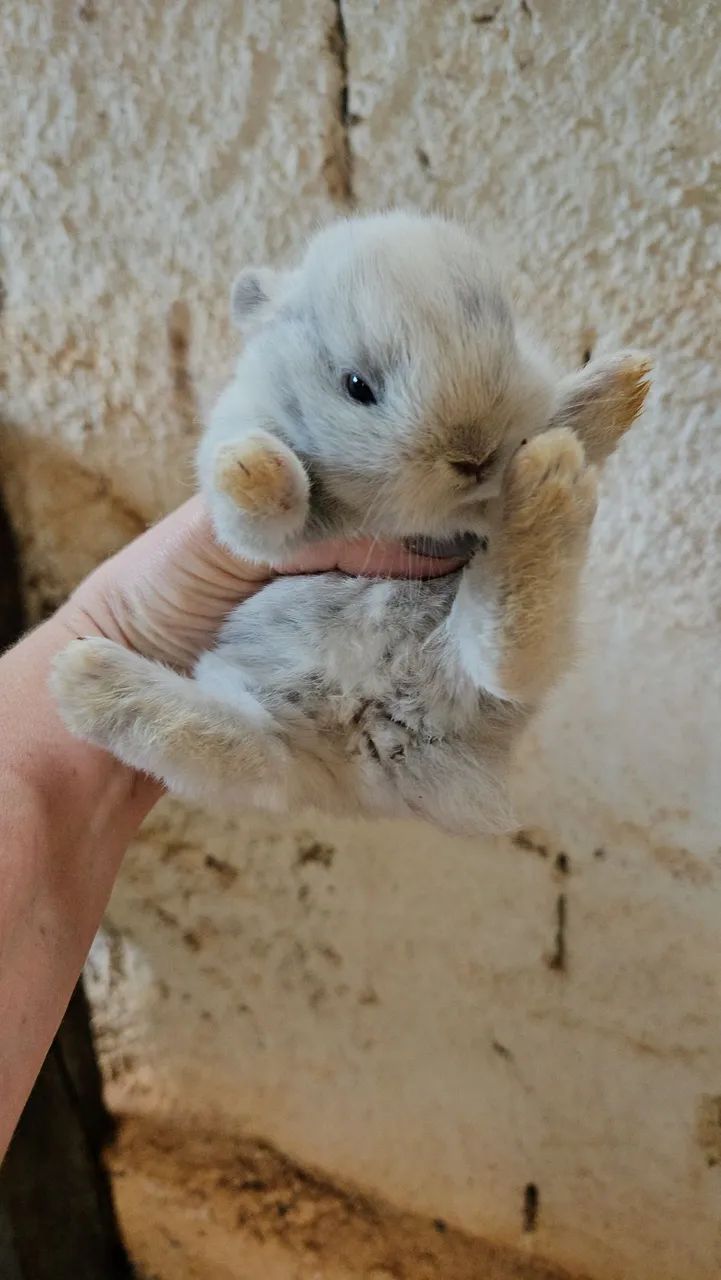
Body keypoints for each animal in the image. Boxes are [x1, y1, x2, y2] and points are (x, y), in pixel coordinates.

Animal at [52, 212, 650, 836]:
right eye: (357, 386)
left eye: (507, 338)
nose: (476, 454)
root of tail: (364, 727)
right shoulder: (269, 524)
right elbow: (259, 515)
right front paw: (253, 467)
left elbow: (562, 416)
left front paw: (616, 389)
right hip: (272, 723)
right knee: (249, 750)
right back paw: (85, 677)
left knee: (506, 658)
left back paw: (560, 467)